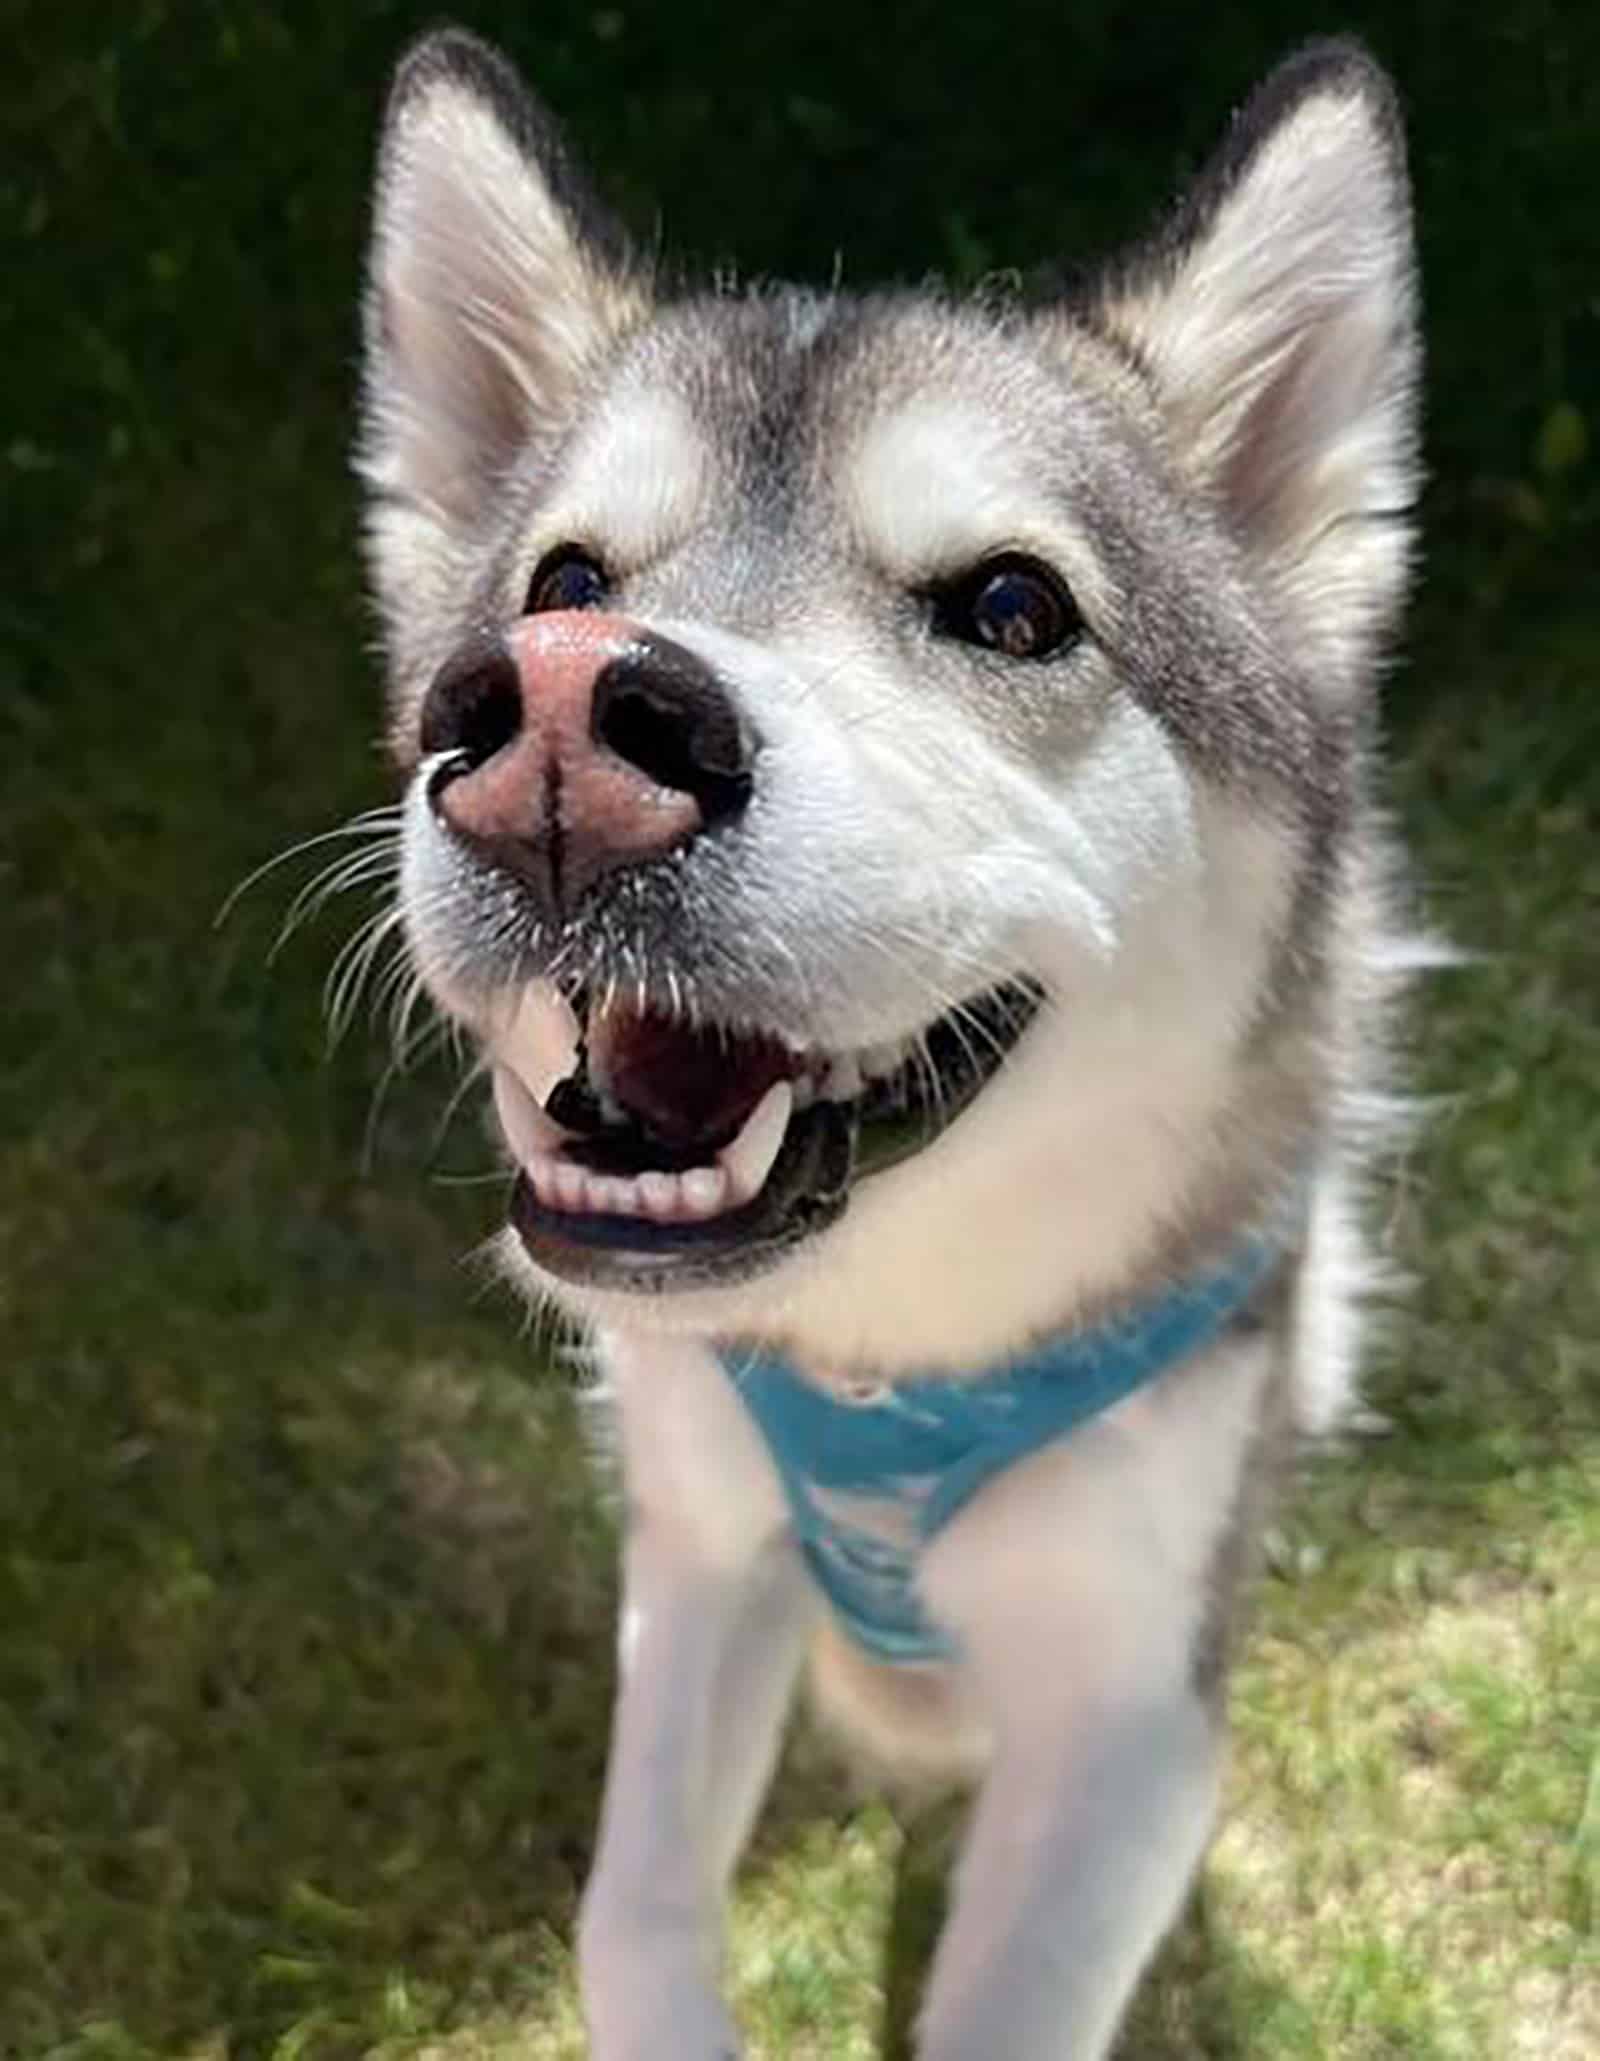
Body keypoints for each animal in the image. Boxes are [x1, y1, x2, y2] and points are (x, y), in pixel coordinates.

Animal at [358, 24, 1410, 2052]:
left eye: (1012, 604)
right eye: (562, 587)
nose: (551, 728)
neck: (881, 1357)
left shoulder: (1133, 1715)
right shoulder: (698, 1552)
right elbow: (632, 1913)